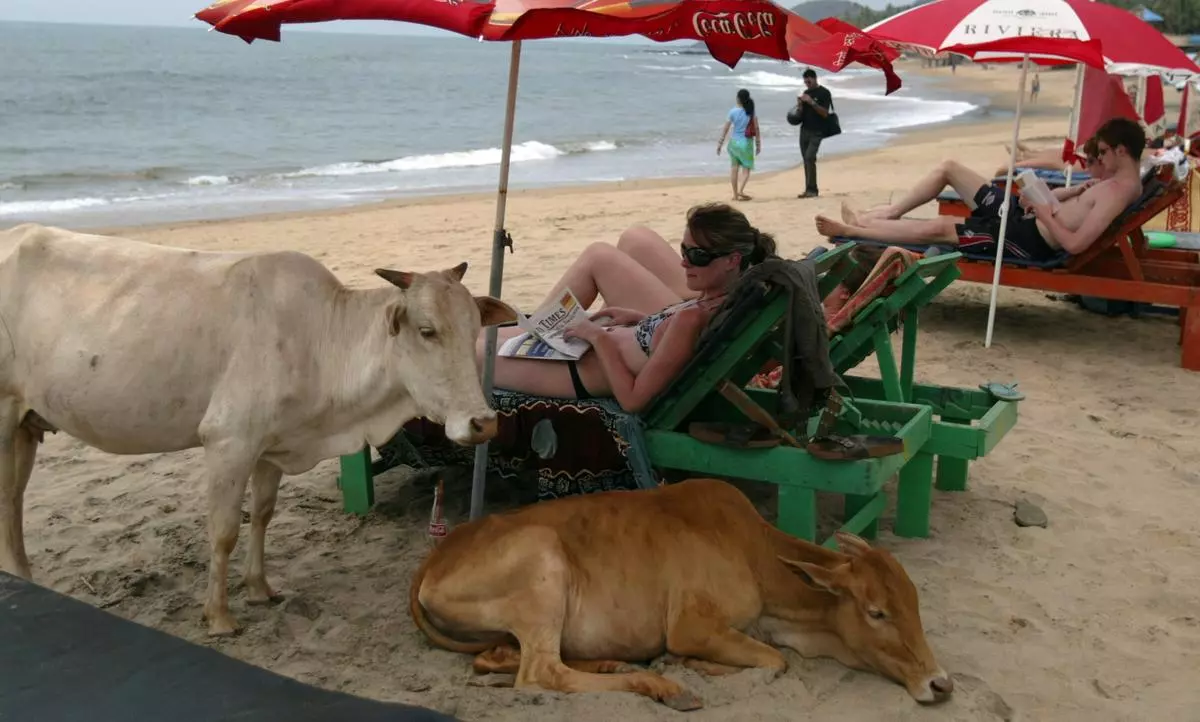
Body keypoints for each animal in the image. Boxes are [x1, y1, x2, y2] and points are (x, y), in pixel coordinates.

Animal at [0, 221, 513, 633]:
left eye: (474, 329)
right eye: (427, 331)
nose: (483, 422)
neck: (321, 339)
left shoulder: (272, 446)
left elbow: (263, 513)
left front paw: (259, 587)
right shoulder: (228, 440)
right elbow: (224, 529)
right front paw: (219, 616)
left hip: (24, 423)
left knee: (14, 501)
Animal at [412, 474, 955, 705]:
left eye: (915, 605)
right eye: (876, 612)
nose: (941, 684)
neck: (754, 553)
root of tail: (435, 557)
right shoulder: (692, 626)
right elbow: (774, 661)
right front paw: (691, 667)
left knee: (503, 658)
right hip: (544, 562)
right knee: (541, 672)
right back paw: (659, 685)